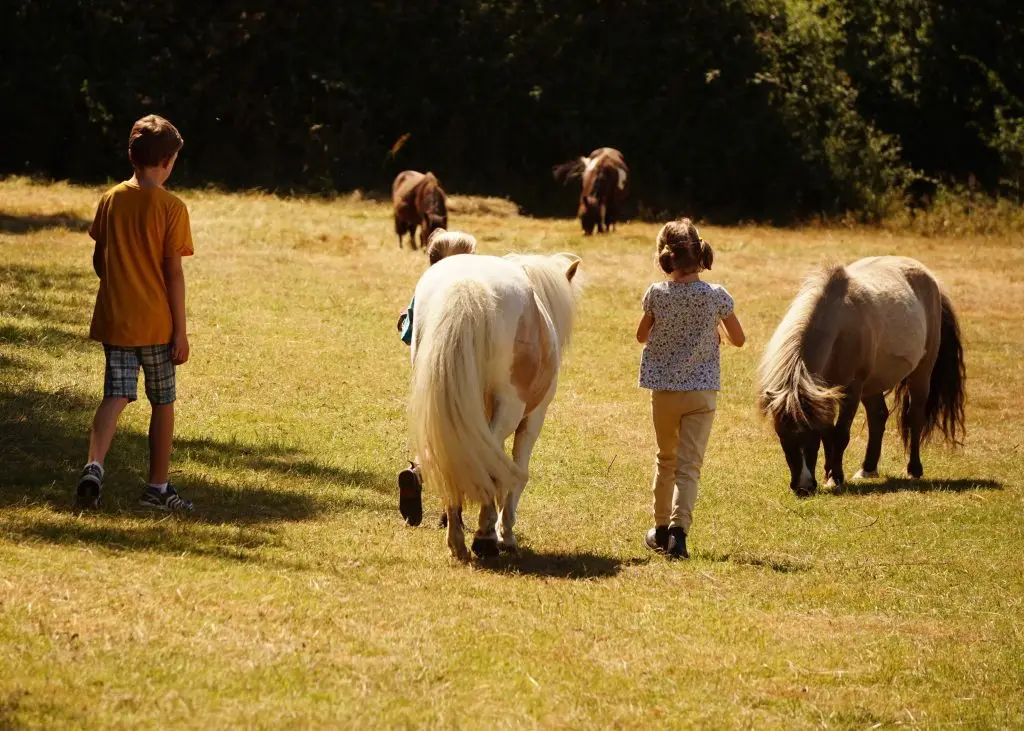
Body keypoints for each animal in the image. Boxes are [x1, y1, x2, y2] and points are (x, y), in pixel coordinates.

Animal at [407, 252, 581, 560]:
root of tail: (467, 285)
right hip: (510, 410)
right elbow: (515, 472)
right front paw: (504, 533)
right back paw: (484, 540)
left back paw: (457, 540)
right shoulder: (531, 420)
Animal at [757, 256, 965, 496]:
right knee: (878, 416)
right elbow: (830, 433)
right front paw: (830, 472)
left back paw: (914, 469)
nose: (803, 486)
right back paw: (868, 468)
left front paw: (834, 477)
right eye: (782, 435)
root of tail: (931, 279)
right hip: (872, 385)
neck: (839, 326)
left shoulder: (851, 389)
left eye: (811, 435)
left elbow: (839, 433)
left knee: (915, 417)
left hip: (921, 373)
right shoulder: (824, 393)